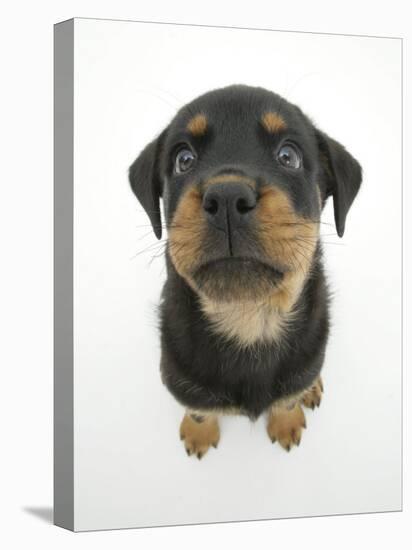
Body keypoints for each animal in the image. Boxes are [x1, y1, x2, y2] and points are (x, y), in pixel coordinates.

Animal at [128, 84, 360, 460]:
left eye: (288, 156)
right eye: (183, 160)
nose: (226, 197)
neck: (250, 319)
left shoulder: (302, 365)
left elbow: (287, 398)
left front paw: (286, 421)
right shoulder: (179, 379)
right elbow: (198, 408)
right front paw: (198, 432)